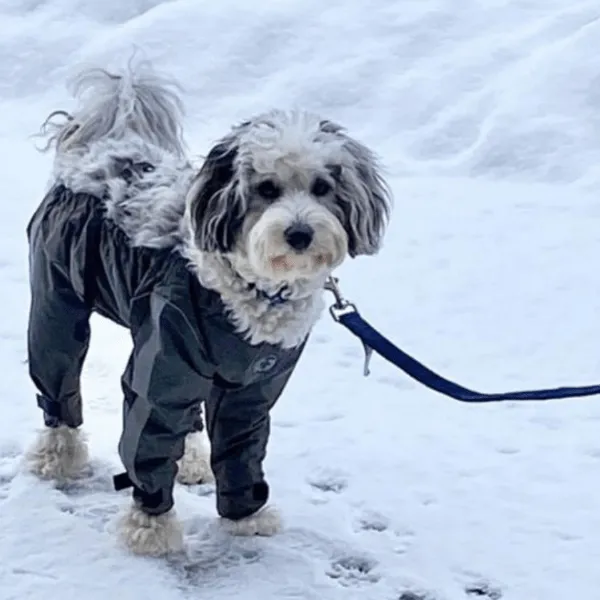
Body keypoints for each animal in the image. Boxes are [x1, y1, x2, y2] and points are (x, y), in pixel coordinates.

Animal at [22, 61, 394, 556]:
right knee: (57, 384)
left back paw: (192, 460)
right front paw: (150, 528)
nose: (299, 234)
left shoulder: (252, 389)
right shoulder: (161, 372)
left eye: (323, 187)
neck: (257, 289)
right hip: (58, 303)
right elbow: (149, 442)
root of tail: (102, 149)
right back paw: (57, 456)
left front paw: (246, 517)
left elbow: (241, 449)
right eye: (266, 188)